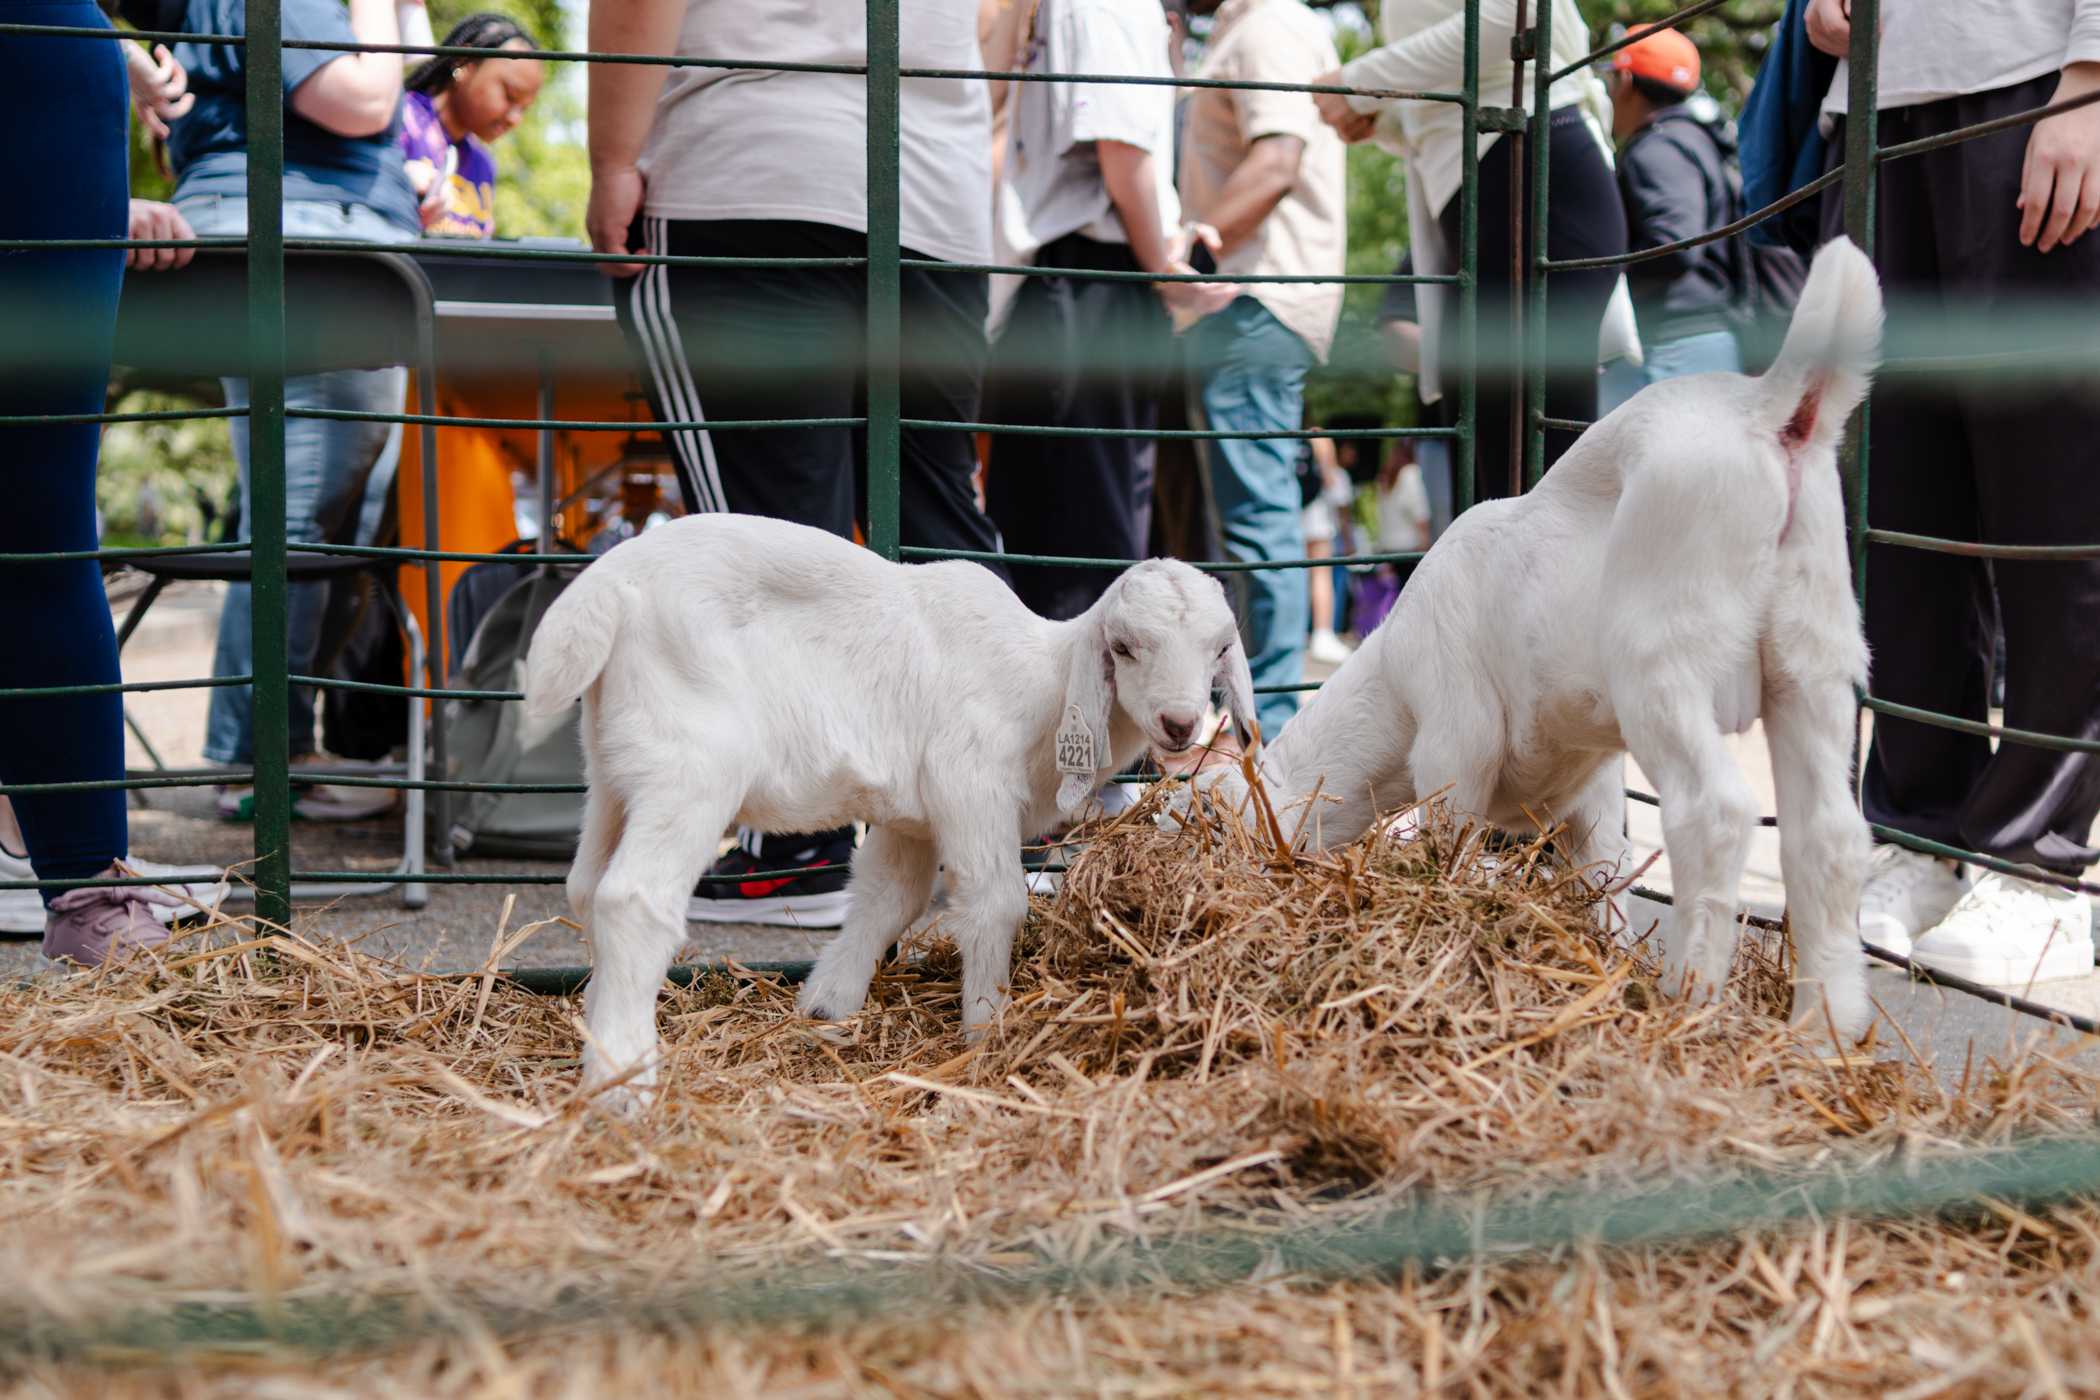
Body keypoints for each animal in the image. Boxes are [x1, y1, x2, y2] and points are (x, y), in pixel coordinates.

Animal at [1184, 238, 1889, 1041]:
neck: (1392, 684)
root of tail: (1770, 409)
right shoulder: (1593, 787)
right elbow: (1606, 873)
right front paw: (1602, 948)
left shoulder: (1455, 736)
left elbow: (1450, 838)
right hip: (1815, 659)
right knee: (1828, 837)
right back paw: (1822, 1032)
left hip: (1666, 661)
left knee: (1715, 814)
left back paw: (1683, 1004)